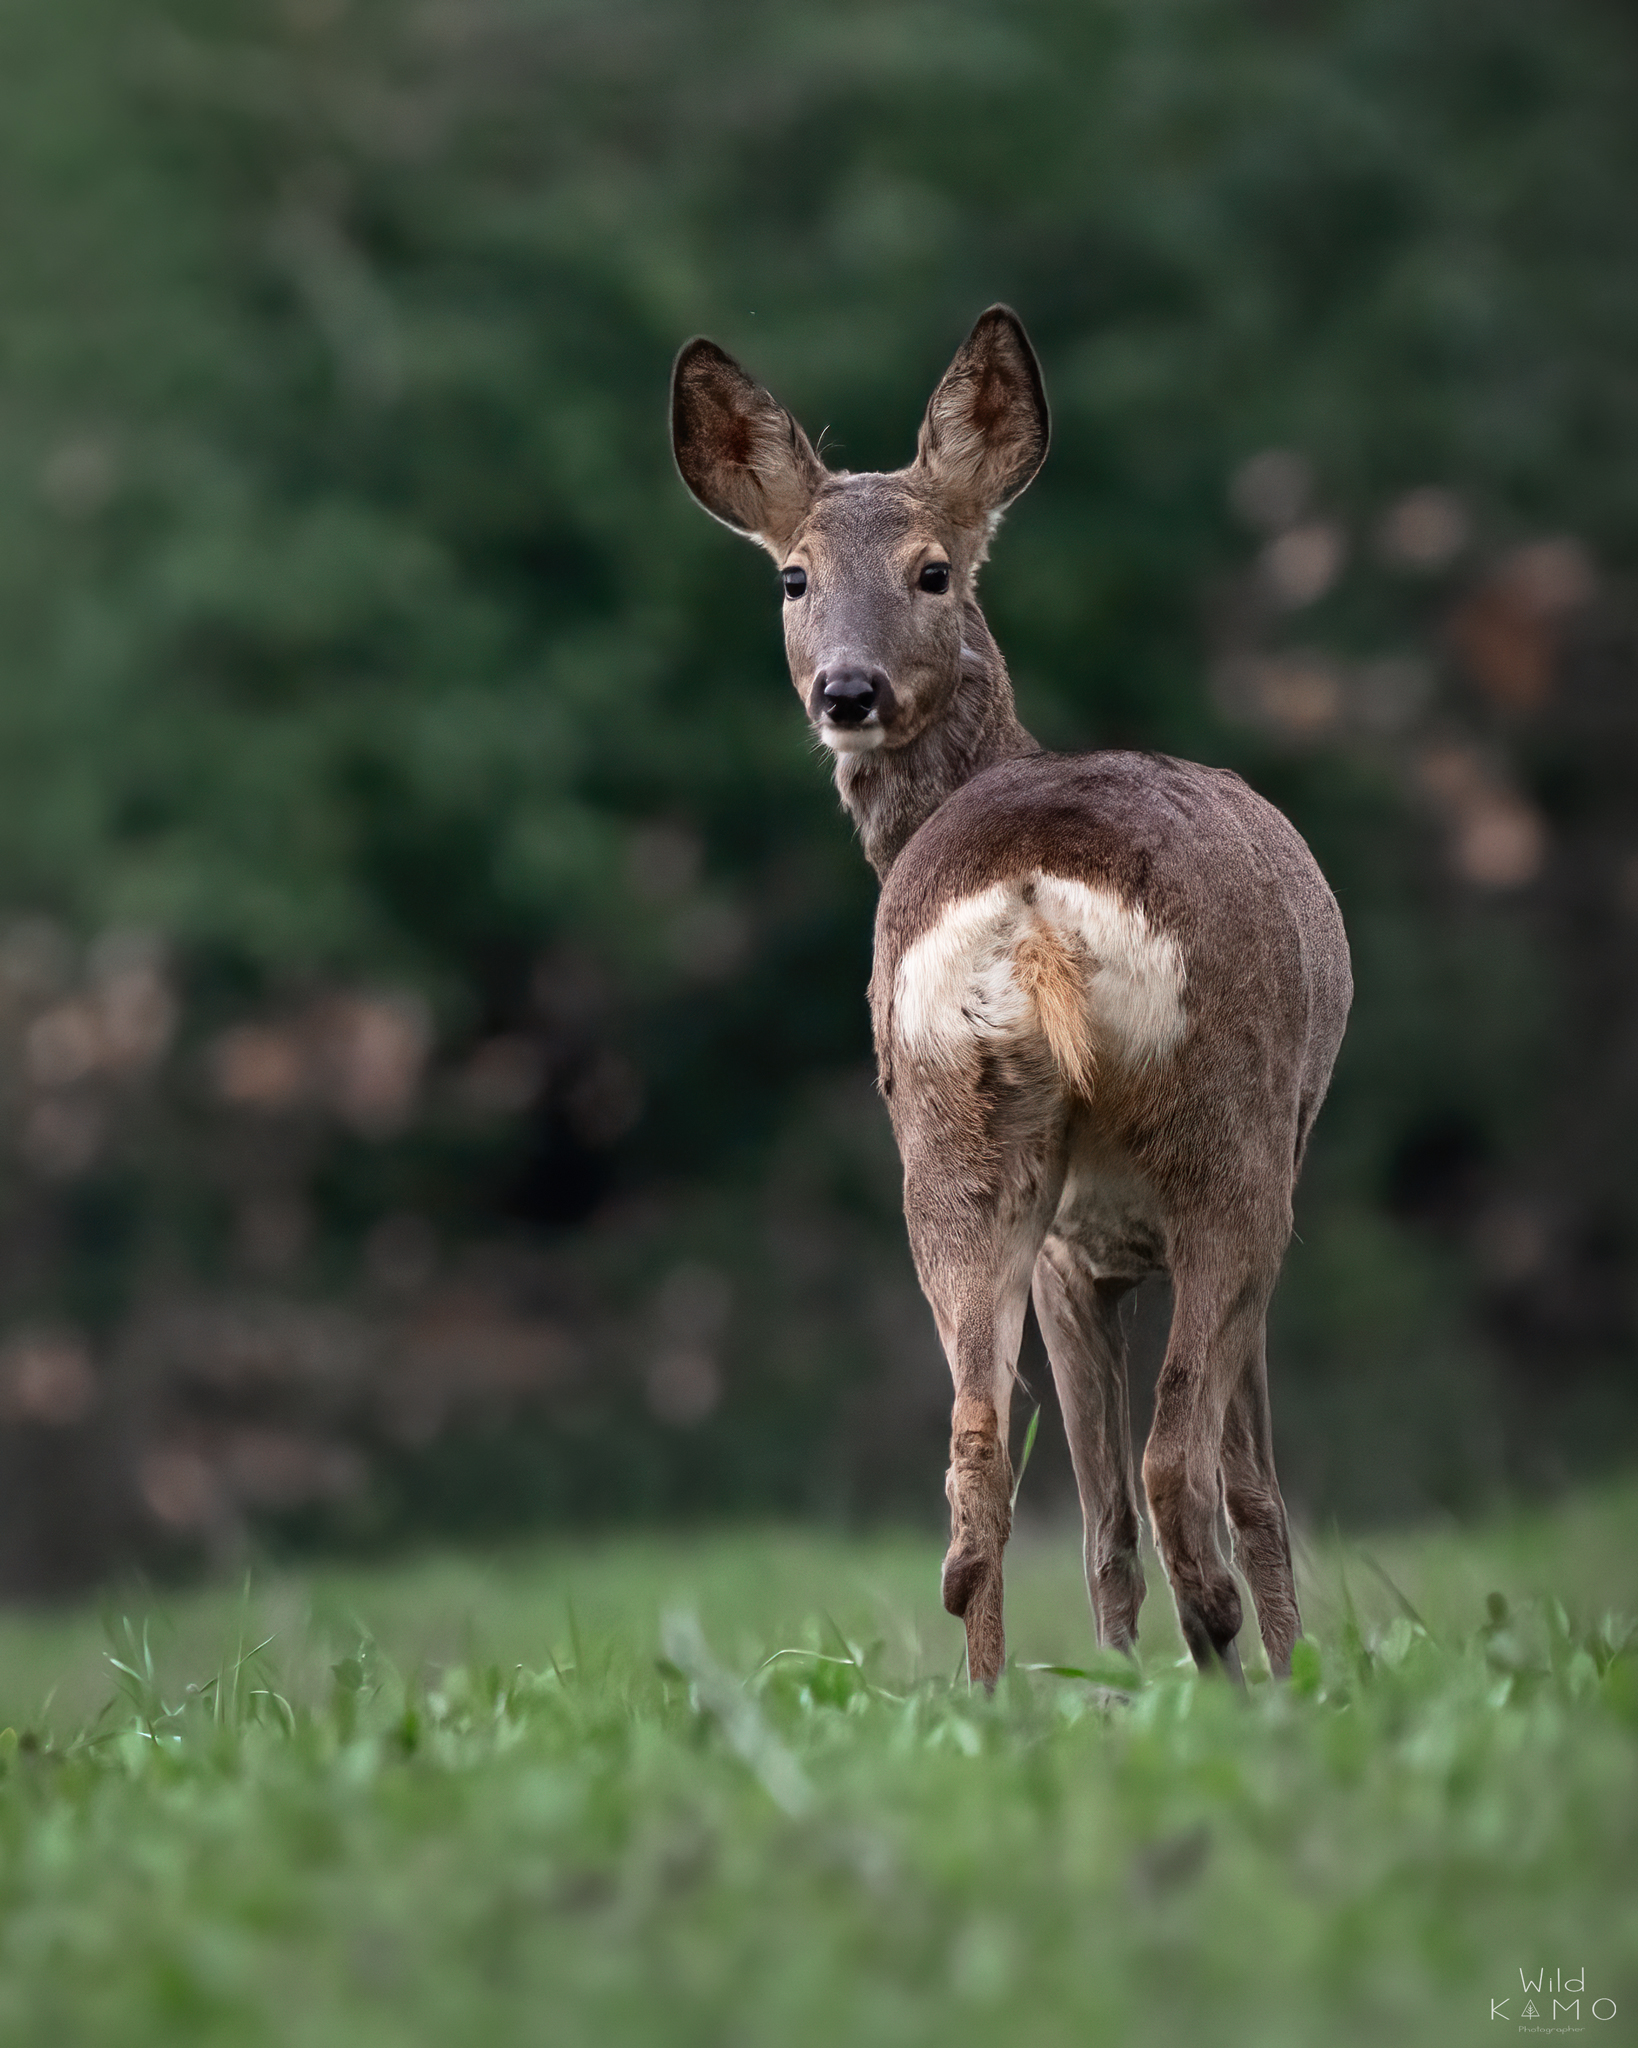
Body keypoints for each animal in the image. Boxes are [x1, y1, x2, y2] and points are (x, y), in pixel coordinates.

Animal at [670, 307, 1351, 1686]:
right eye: (793, 577)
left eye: (933, 571)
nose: (848, 690)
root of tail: (1034, 905)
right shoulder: (1154, 1229)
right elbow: (1243, 1483)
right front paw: (1292, 1674)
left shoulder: (1064, 1249)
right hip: (1236, 1142)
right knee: (1179, 1465)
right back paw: (1227, 1667)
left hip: (948, 1137)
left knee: (982, 1461)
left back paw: (990, 1701)